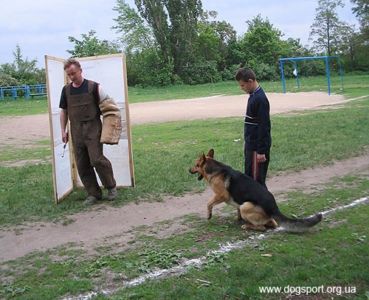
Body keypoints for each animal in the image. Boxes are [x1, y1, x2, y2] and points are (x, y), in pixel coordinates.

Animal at [188, 149, 320, 232]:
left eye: (196, 165)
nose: (188, 170)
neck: (214, 169)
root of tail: (274, 207)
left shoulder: (222, 195)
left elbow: (209, 203)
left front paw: (209, 215)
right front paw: (238, 218)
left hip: (245, 206)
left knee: (262, 227)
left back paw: (247, 226)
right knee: (272, 224)